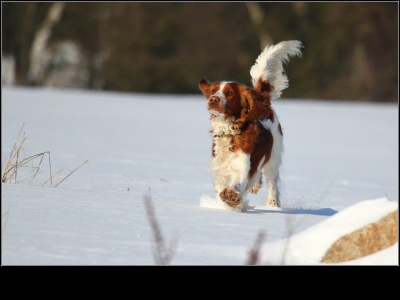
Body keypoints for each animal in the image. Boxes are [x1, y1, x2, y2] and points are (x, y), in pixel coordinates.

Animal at [198, 39, 302, 211]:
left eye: (230, 93)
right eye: (213, 91)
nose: (213, 99)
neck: (230, 132)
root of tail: (262, 99)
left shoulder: (243, 166)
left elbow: (238, 183)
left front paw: (232, 197)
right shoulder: (219, 167)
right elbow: (219, 186)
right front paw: (227, 198)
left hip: (273, 157)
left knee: (272, 182)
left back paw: (272, 205)